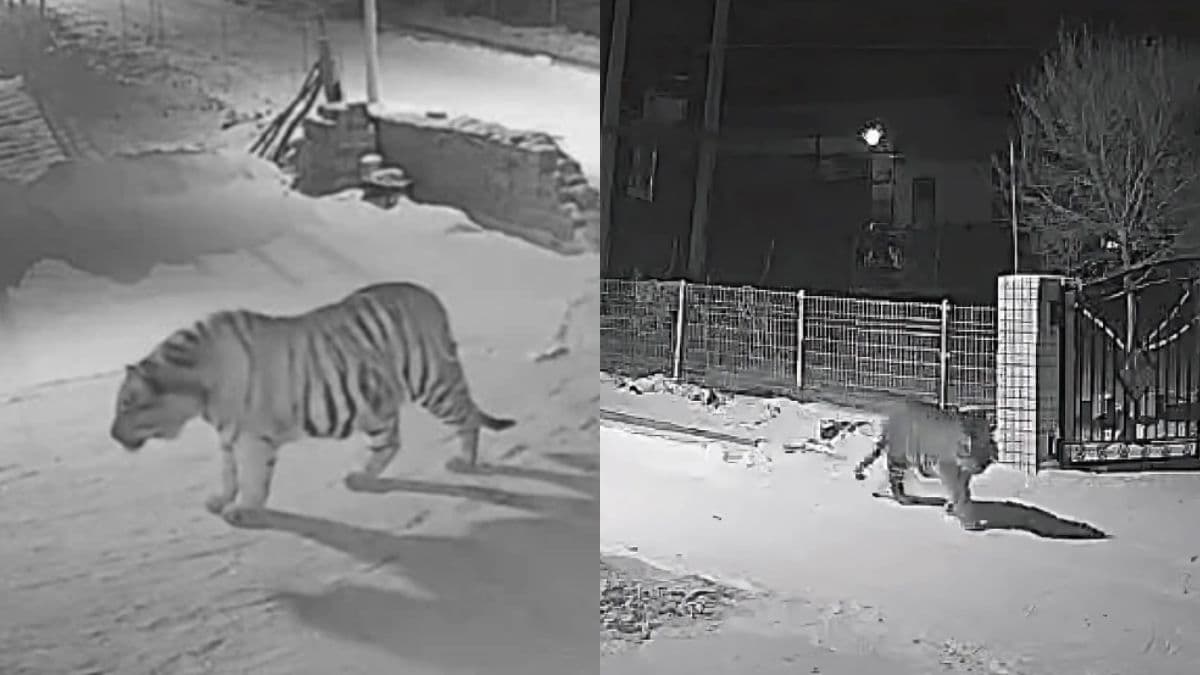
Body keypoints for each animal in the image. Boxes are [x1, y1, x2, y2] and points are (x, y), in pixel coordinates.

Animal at [108, 281, 516, 526]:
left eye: (127, 404)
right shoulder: (228, 437)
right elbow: (229, 472)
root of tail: (431, 296)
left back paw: (464, 461)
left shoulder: (252, 439)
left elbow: (252, 477)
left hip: (431, 383)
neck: (200, 387)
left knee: (467, 418)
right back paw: (362, 478)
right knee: (391, 442)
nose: (111, 435)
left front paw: (244, 510)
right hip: (375, 406)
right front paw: (222, 499)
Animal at [852, 399, 998, 531]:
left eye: (986, 448)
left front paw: (950, 507)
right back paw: (903, 499)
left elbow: (962, 491)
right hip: (899, 458)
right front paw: (969, 522)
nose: (980, 466)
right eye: (969, 447)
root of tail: (891, 414)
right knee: (894, 479)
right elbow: (961, 494)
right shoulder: (949, 470)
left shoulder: (964, 474)